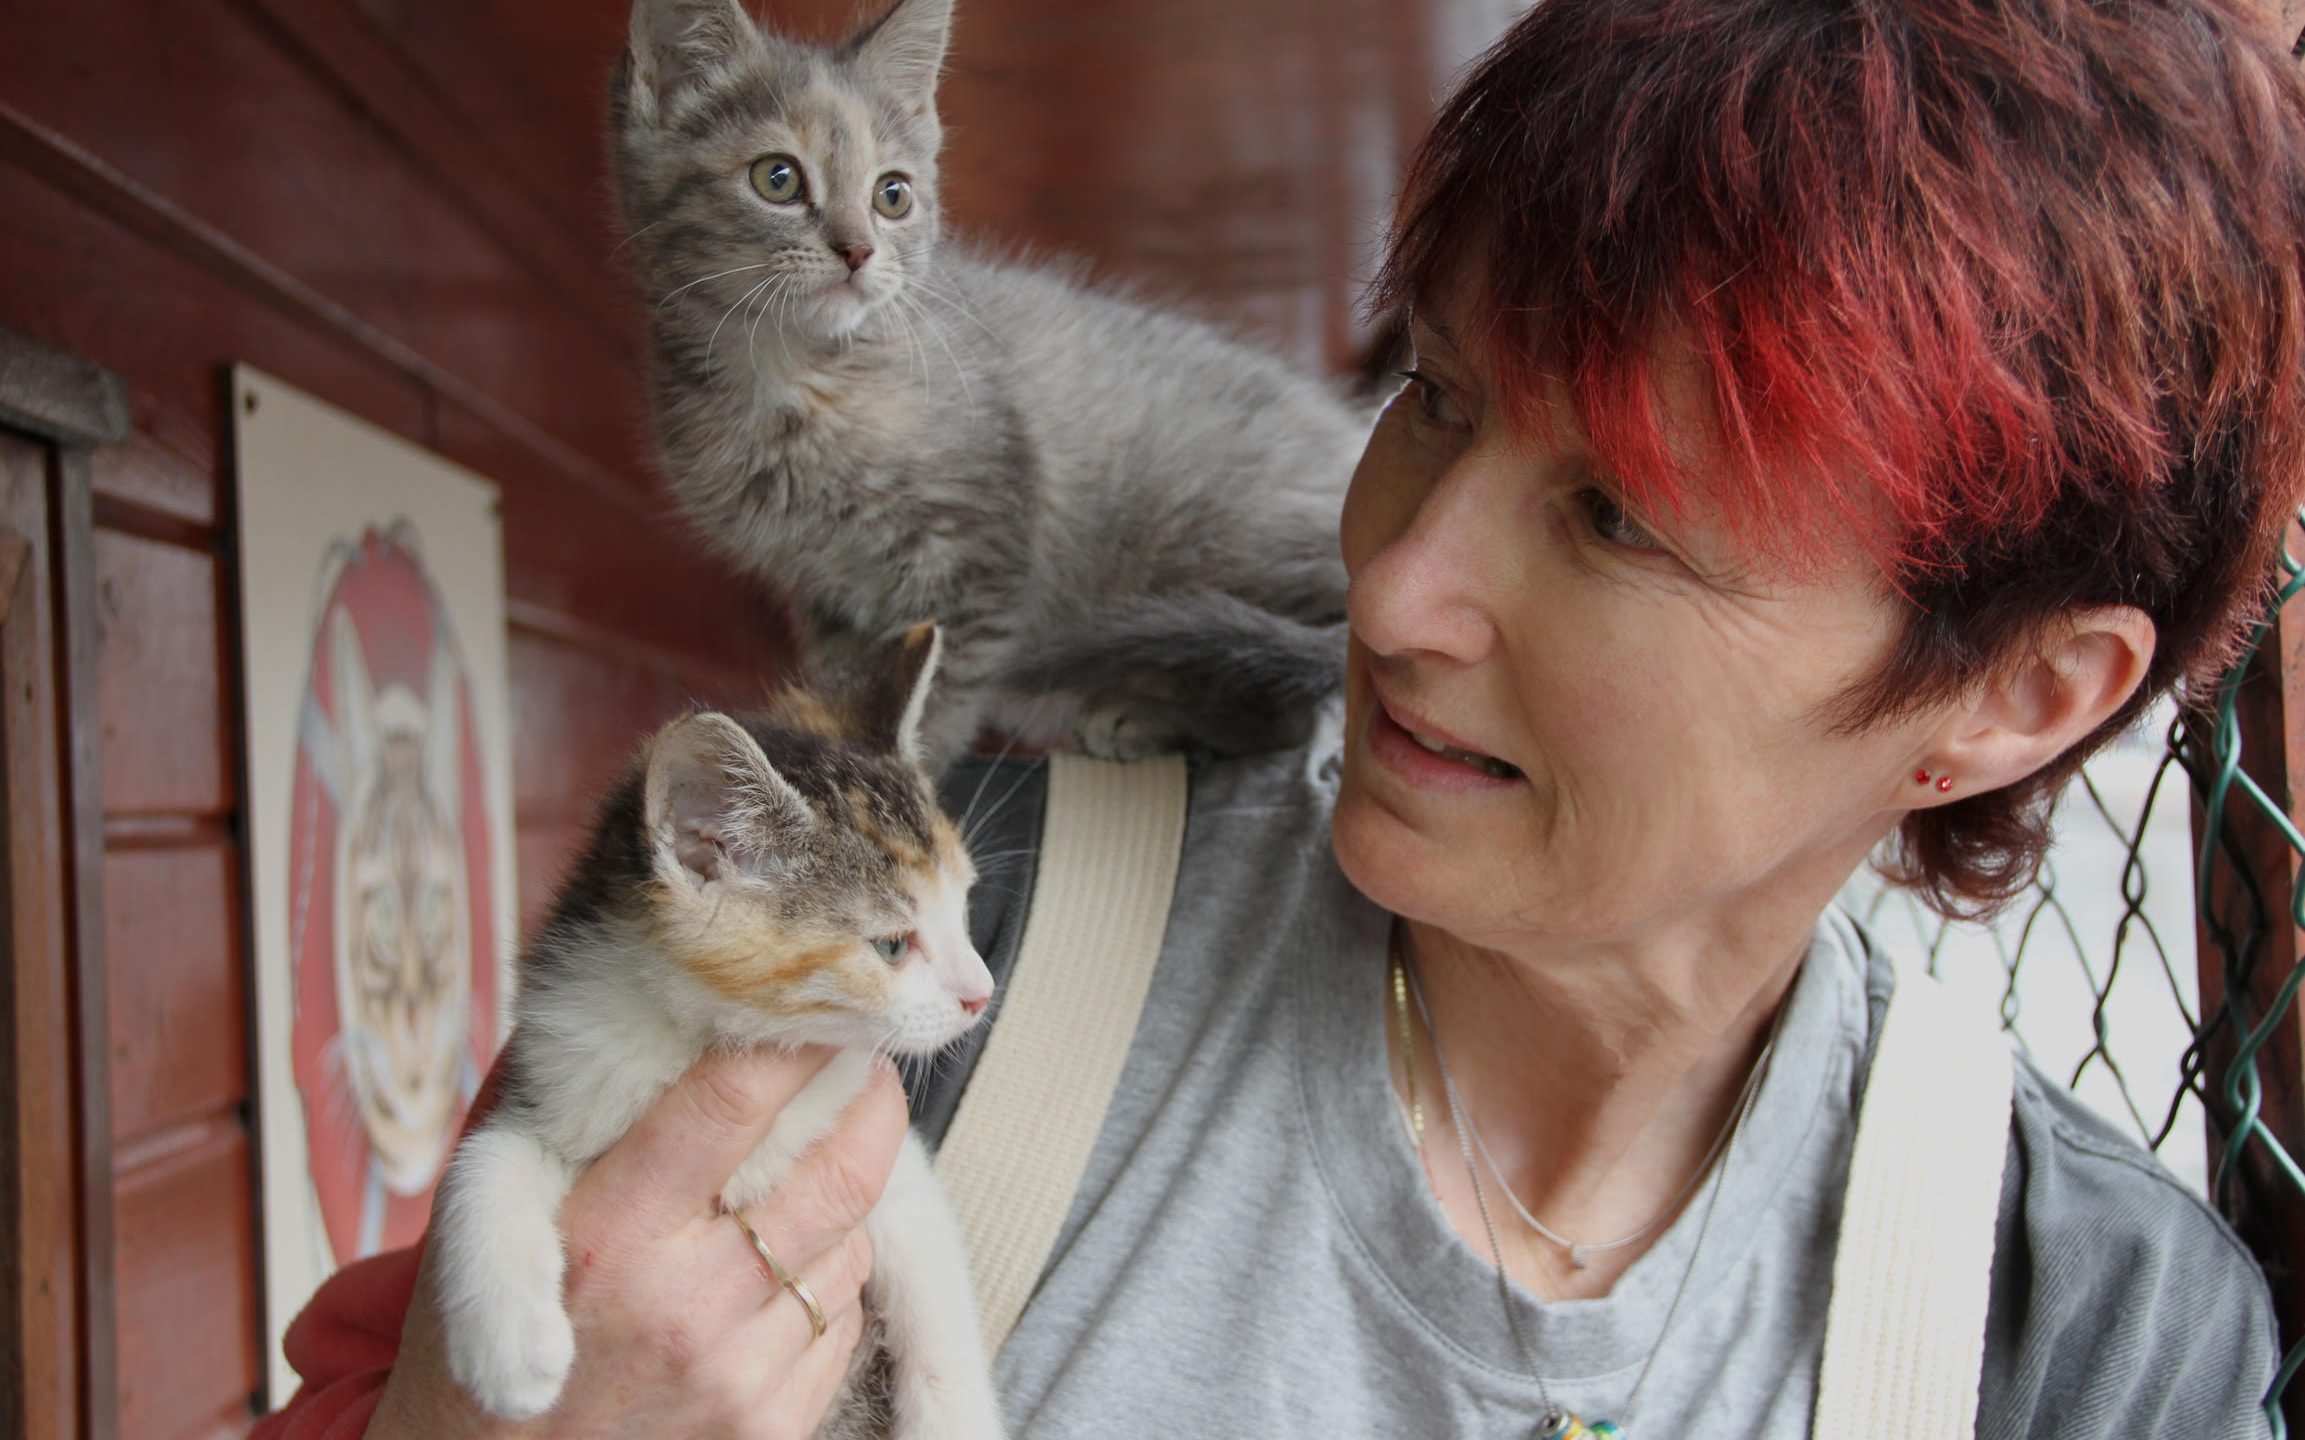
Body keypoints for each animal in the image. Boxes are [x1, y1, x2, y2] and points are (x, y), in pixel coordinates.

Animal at [431, 626, 1000, 1437]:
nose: (982, 994)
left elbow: (937, 1293)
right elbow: (485, 1155)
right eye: (892, 946)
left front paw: (955, 1417)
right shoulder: (561, 1071)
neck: (710, 1036)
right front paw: (508, 1349)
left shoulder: (892, 1169)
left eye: (964, 907)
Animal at [613, 0, 1364, 769]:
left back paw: (1145, 716)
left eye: (892, 195)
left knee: (1302, 705)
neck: (798, 379)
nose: (858, 251)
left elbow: (940, 700)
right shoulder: (826, 590)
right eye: (777, 179)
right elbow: (846, 683)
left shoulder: (977, 558)